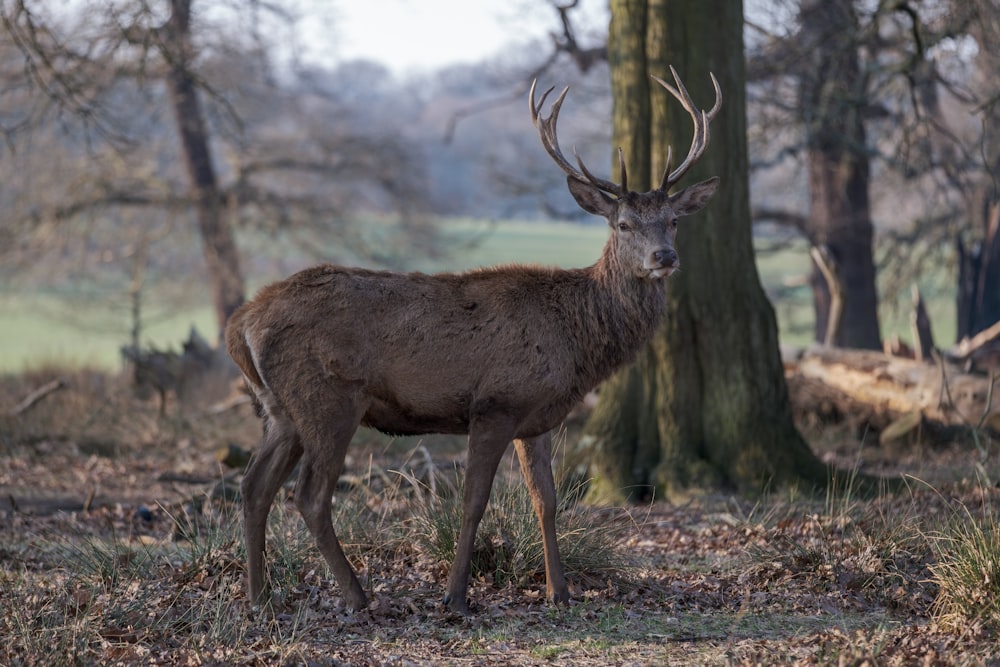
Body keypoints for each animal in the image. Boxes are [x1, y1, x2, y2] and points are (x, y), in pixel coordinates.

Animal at [225, 68, 720, 616]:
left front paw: (560, 591)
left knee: (253, 487)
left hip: (280, 409)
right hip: (327, 399)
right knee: (309, 495)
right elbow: (473, 501)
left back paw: (259, 597)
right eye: (624, 224)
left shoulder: (535, 416)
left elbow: (546, 500)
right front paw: (456, 596)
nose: (664, 256)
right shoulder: (494, 403)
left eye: (673, 220)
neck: (575, 343)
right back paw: (357, 597)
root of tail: (239, 323)